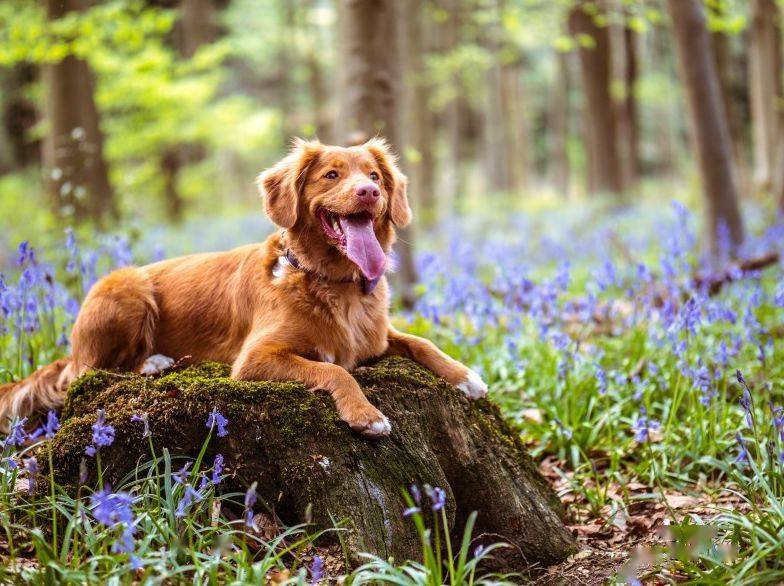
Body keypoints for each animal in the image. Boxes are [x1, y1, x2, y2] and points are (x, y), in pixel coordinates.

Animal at [0, 139, 486, 436]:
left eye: (375, 175)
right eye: (331, 175)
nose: (369, 192)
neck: (333, 283)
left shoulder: (377, 337)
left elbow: (421, 342)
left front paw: (465, 376)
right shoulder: (255, 359)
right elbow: (336, 370)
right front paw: (366, 415)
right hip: (127, 288)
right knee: (91, 371)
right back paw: (154, 362)